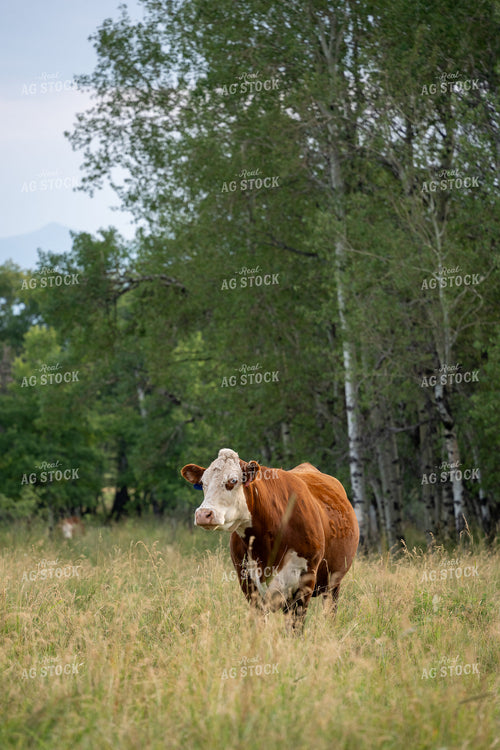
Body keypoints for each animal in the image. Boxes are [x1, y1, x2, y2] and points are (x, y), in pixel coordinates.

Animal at [181, 448, 359, 630]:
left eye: (233, 480)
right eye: (203, 483)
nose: (203, 514)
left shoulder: (304, 582)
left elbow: (296, 627)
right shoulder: (248, 584)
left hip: (334, 582)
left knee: (330, 611)